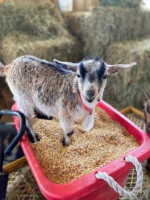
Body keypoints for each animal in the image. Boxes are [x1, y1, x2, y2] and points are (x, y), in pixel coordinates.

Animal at [0, 55, 136, 145]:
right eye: (79, 75)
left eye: (104, 76)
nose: (89, 93)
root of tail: (10, 66)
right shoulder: (65, 114)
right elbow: (69, 132)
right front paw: (67, 144)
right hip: (23, 97)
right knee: (27, 118)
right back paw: (35, 137)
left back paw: (46, 117)